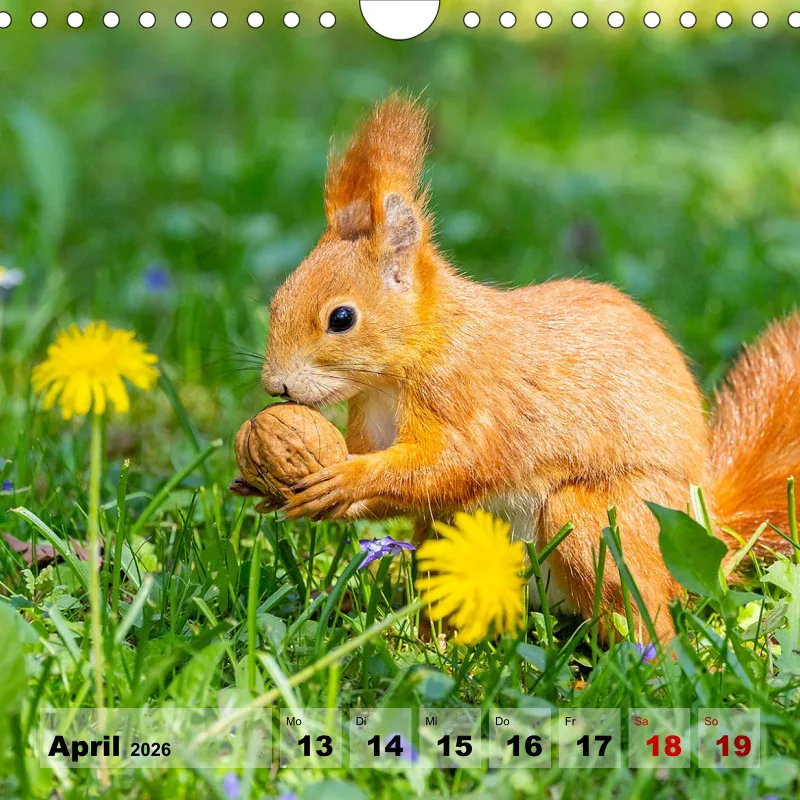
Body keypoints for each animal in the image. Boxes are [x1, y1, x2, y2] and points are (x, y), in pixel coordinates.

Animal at [260, 94, 799, 641]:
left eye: (341, 318)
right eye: (277, 298)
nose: (274, 385)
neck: (402, 368)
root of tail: (708, 526)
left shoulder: (467, 392)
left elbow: (453, 463)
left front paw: (349, 477)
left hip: (609, 522)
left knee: (643, 605)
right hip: (447, 539)